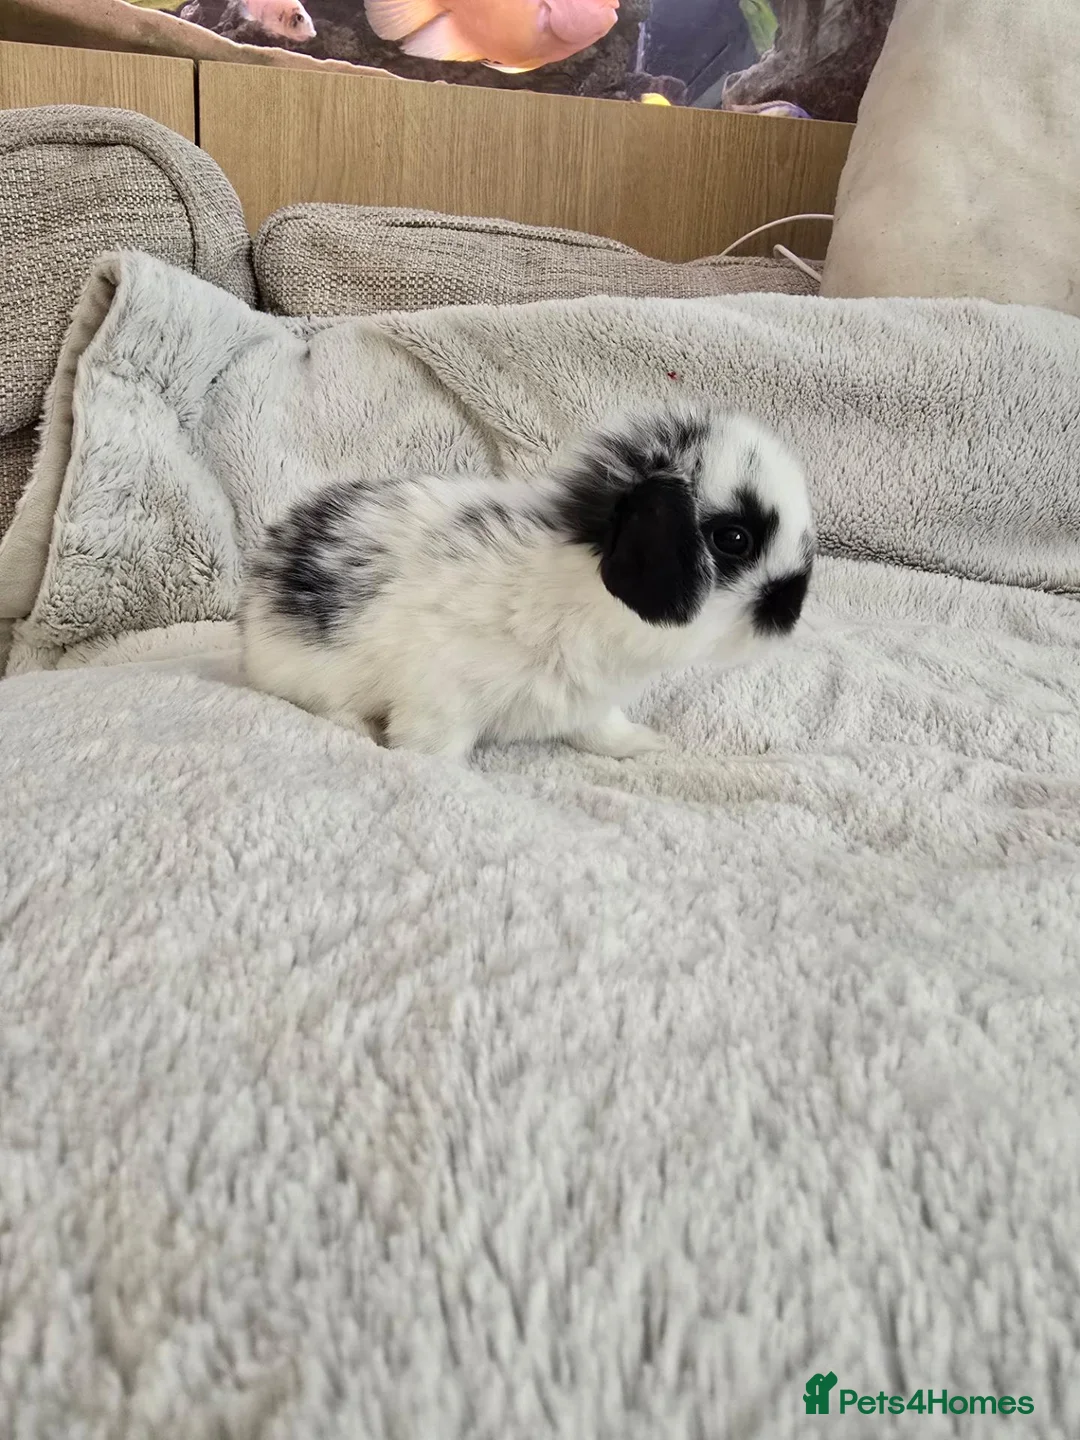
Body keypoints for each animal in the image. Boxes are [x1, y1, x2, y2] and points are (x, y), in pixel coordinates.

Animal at [238, 400, 815, 760]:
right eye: (734, 539)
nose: (793, 610)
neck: (584, 592)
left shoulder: (590, 701)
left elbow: (603, 729)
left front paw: (644, 745)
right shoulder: (441, 695)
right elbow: (433, 747)